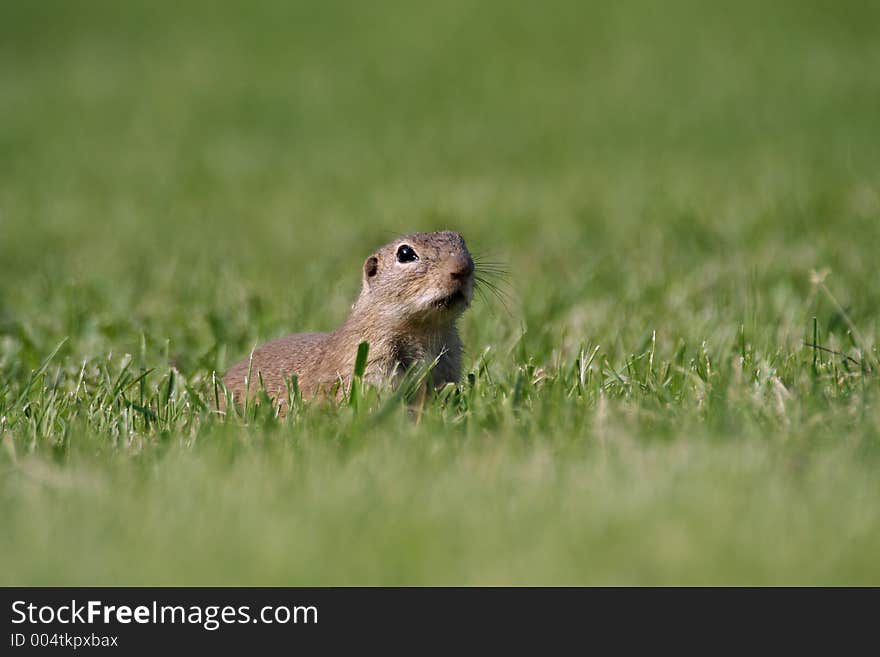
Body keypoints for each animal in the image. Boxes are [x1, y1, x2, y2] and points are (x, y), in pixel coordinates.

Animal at [223, 228, 478, 408]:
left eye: (461, 240)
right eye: (405, 253)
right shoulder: (369, 359)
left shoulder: (448, 364)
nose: (462, 268)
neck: (424, 331)